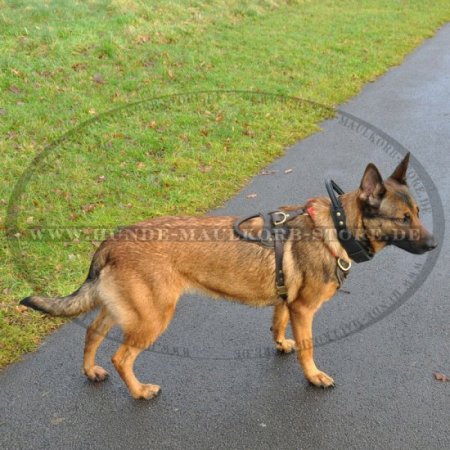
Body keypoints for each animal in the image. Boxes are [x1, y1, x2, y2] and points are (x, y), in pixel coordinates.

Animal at [20, 153, 436, 400]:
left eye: (417, 213)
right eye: (403, 219)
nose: (434, 245)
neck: (336, 226)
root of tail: (112, 240)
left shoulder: (287, 303)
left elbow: (277, 325)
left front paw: (281, 344)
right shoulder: (304, 310)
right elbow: (308, 348)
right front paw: (314, 377)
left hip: (124, 310)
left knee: (92, 333)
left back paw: (91, 371)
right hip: (152, 318)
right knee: (122, 356)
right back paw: (139, 392)